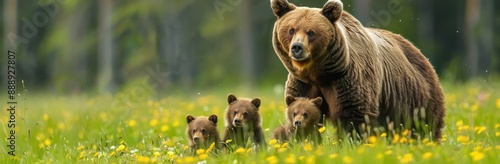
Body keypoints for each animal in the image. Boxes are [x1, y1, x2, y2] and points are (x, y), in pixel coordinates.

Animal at [272, 0, 448, 141]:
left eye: (311, 32)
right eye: (291, 30)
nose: (297, 48)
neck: (318, 73)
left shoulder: (346, 79)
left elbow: (353, 116)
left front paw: (352, 143)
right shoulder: (303, 83)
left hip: (415, 95)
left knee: (425, 123)